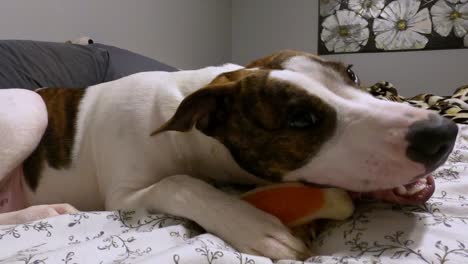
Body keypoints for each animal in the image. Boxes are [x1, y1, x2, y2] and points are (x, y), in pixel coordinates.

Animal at [0, 50, 458, 258]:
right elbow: (182, 183)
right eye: (301, 119)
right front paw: (257, 226)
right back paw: (45, 211)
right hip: (31, 107)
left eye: (351, 73)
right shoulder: (126, 195)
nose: (442, 132)